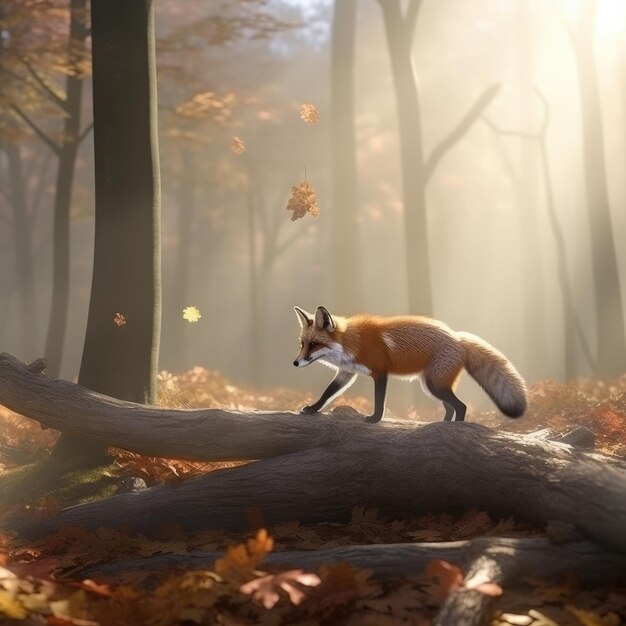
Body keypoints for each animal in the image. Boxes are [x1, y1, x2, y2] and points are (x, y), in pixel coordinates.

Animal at [292, 304, 528, 422]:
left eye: (314, 344)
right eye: (302, 343)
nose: (295, 362)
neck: (354, 342)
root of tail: (457, 337)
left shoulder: (380, 372)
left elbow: (380, 401)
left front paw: (374, 419)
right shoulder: (347, 373)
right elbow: (327, 393)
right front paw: (313, 408)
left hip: (435, 384)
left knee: (460, 407)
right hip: (431, 386)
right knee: (450, 408)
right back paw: (441, 425)